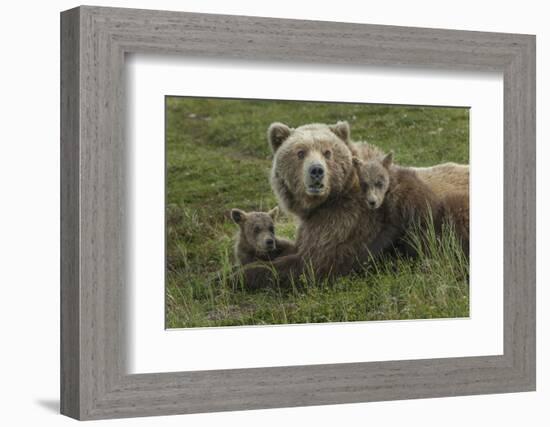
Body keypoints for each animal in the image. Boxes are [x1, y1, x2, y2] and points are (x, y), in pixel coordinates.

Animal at [243, 120, 470, 290]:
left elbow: (314, 263)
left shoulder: (350, 221)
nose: (316, 171)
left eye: (327, 152)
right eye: (300, 152)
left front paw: (238, 274)